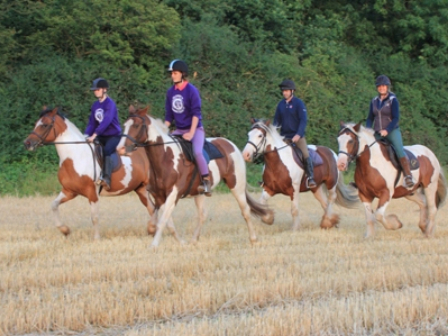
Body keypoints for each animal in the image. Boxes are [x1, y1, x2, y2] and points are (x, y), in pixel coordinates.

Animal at [23, 106, 180, 240]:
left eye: (44, 125)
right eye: (36, 123)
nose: (27, 143)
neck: (75, 156)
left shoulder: (92, 192)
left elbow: (94, 217)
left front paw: (97, 239)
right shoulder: (69, 191)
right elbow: (54, 205)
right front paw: (65, 230)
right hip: (140, 189)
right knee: (152, 208)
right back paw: (152, 230)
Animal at [119, 105, 272, 247]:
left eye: (136, 125)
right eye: (125, 125)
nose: (120, 149)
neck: (165, 156)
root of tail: (230, 144)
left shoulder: (173, 194)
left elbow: (162, 220)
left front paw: (154, 245)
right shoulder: (159, 196)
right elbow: (167, 222)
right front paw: (180, 242)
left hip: (236, 185)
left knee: (245, 210)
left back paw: (253, 239)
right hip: (199, 193)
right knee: (203, 214)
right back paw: (193, 240)